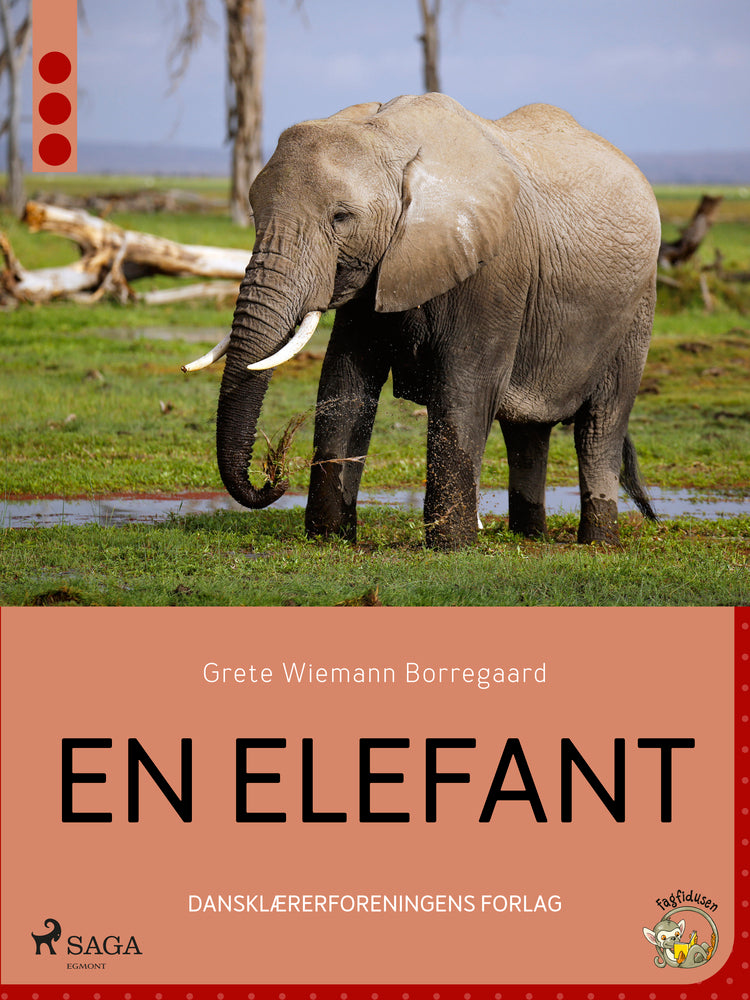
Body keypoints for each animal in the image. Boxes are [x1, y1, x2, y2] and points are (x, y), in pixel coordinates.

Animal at [184, 93, 660, 550]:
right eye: (253, 214)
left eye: (341, 218)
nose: (274, 477)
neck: (390, 135)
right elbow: (345, 381)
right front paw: (329, 538)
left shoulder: (494, 271)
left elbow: (464, 389)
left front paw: (454, 548)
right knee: (527, 431)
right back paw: (530, 537)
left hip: (637, 307)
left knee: (601, 425)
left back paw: (598, 542)